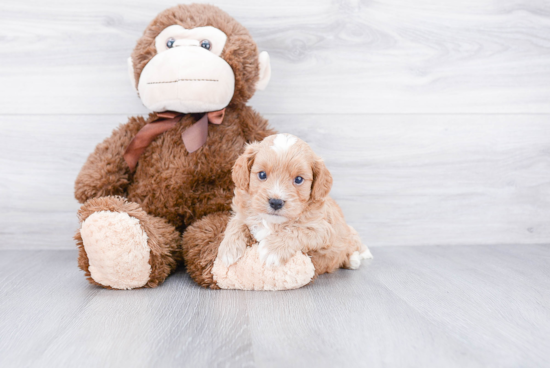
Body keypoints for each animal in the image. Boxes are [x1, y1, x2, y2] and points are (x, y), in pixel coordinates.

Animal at [218, 134, 374, 274]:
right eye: (262, 175)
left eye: (298, 179)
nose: (276, 202)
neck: (273, 222)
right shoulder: (242, 213)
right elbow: (236, 223)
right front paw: (228, 249)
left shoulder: (323, 230)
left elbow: (297, 231)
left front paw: (272, 249)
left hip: (348, 233)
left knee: (354, 245)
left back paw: (354, 259)